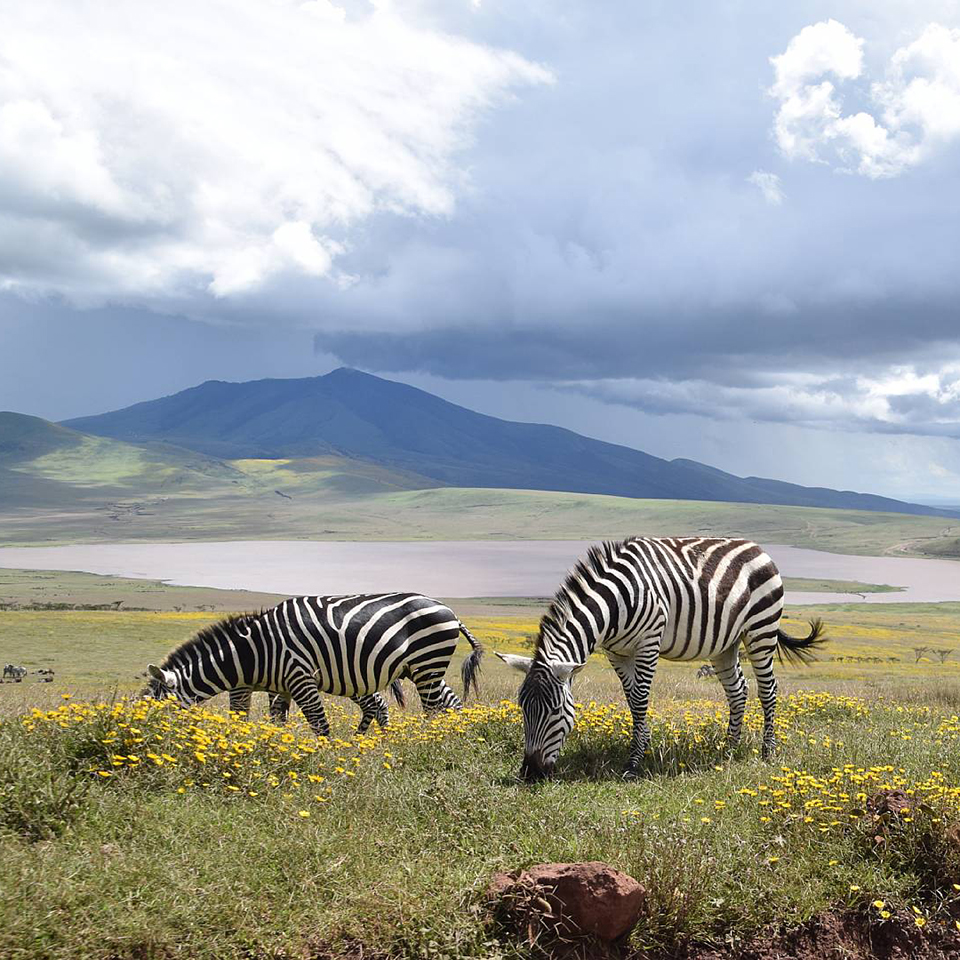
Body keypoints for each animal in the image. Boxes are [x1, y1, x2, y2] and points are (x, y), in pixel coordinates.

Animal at [228, 684, 404, 736]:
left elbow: (238, 714)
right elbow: (278, 714)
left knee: (372, 704)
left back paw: (358, 737)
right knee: (380, 703)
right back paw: (385, 735)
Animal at [496, 536, 824, 784]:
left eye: (554, 711)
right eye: (522, 710)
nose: (531, 774)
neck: (614, 603)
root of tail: (757, 547)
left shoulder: (649, 642)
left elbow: (641, 699)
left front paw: (634, 763)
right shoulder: (616, 652)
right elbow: (631, 699)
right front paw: (643, 744)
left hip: (761, 630)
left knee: (768, 690)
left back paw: (767, 751)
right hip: (725, 644)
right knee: (737, 690)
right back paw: (730, 749)